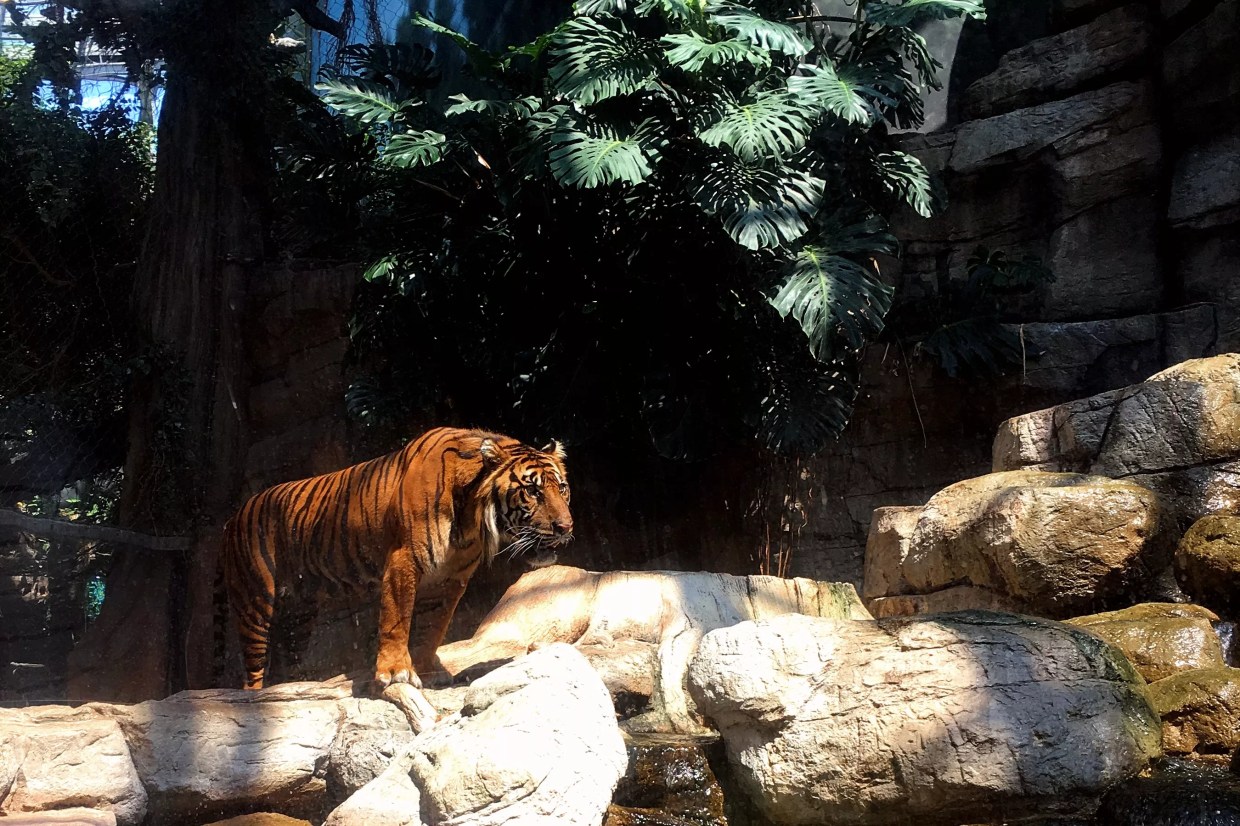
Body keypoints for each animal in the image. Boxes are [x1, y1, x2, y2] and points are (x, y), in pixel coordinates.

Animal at [220, 426, 573, 690]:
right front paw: (394, 673)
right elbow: (397, 619)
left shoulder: (451, 578)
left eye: (562, 488)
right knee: (251, 669)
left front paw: (429, 669)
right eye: (533, 491)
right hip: (254, 601)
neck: (471, 519)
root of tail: (234, 515)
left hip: (299, 611)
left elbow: (434, 627)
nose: (566, 527)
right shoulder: (403, 561)